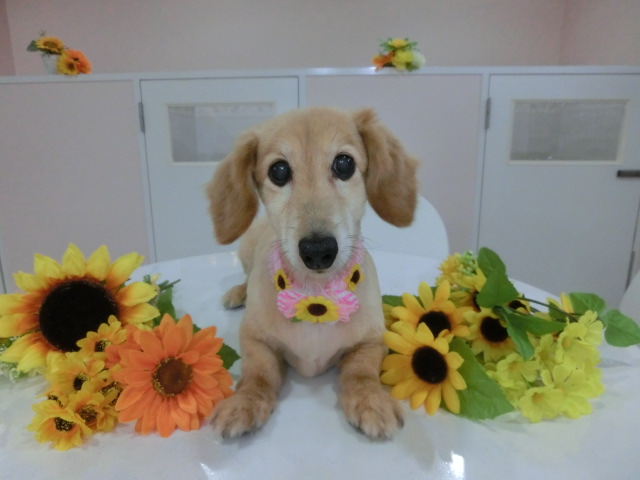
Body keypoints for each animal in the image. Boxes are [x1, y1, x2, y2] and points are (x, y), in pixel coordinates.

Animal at [207, 107, 418, 439]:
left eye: (344, 163)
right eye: (279, 171)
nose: (318, 251)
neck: (316, 295)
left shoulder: (372, 341)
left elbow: (362, 371)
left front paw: (370, 399)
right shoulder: (253, 338)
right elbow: (258, 372)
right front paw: (245, 401)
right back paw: (238, 292)